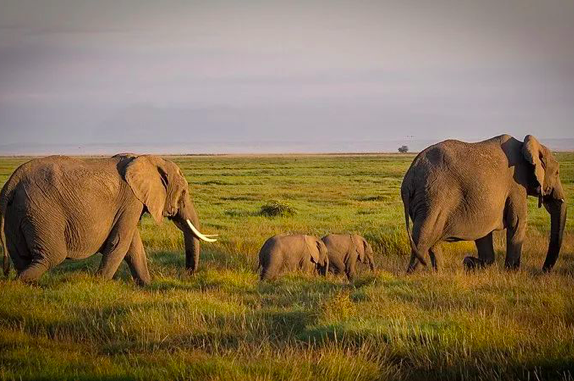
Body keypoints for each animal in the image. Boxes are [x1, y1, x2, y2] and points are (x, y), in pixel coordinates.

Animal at [0, 153, 216, 284]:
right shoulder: (131, 201)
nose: (187, 274)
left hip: (17, 213)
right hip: (41, 211)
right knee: (51, 256)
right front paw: (99, 284)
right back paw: (18, 284)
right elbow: (120, 243)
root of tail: (13, 181)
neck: (149, 159)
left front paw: (147, 285)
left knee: (22, 257)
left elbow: (133, 246)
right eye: (184, 192)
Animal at [402, 135, 568, 272]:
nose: (543, 270)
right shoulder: (516, 185)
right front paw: (512, 272)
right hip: (434, 196)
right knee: (424, 236)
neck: (525, 146)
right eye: (557, 173)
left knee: (432, 237)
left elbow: (484, 231)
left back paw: (440, 273)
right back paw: (413, 274)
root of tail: (409, 178)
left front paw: (471, 262)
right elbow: (517, 222)